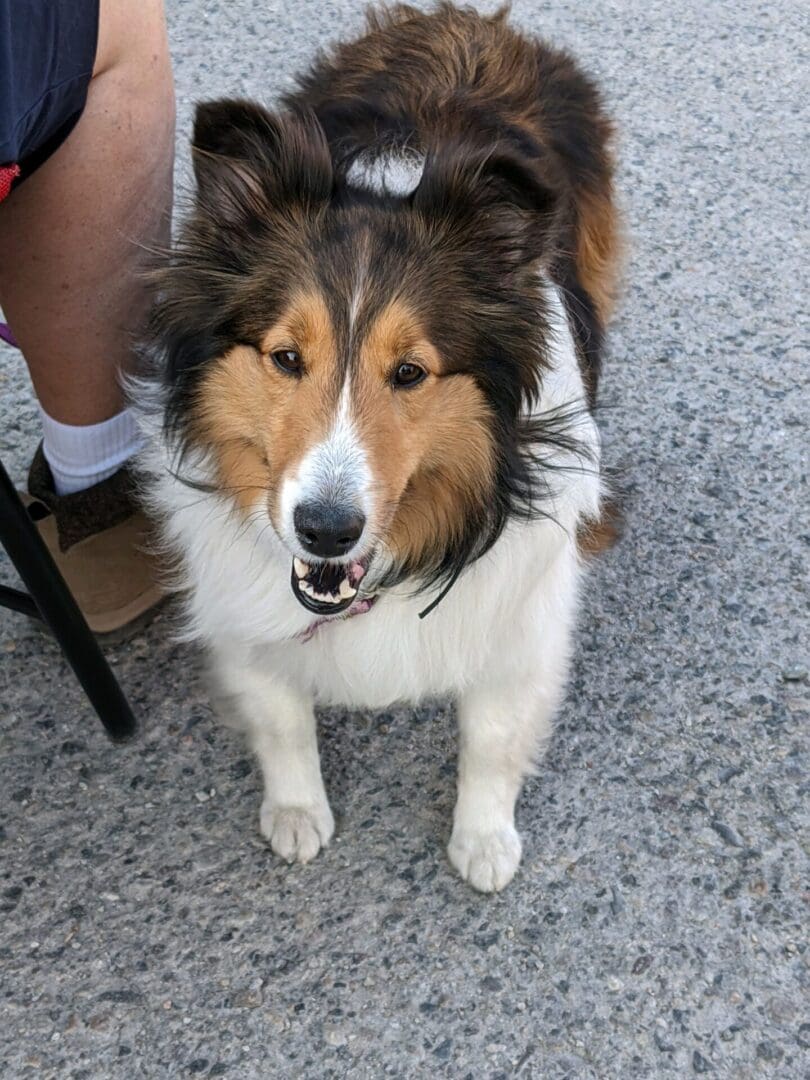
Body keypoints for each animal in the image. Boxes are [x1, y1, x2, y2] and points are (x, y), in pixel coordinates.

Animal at [139, 4, 622, 889]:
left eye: (410, 372)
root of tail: (466, 22)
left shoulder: (521, 618)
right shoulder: (242, 611)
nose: (325, 530)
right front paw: (297, 812)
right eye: (286, 357)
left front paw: (484, 839)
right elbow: (282, 716)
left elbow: (491, 736)